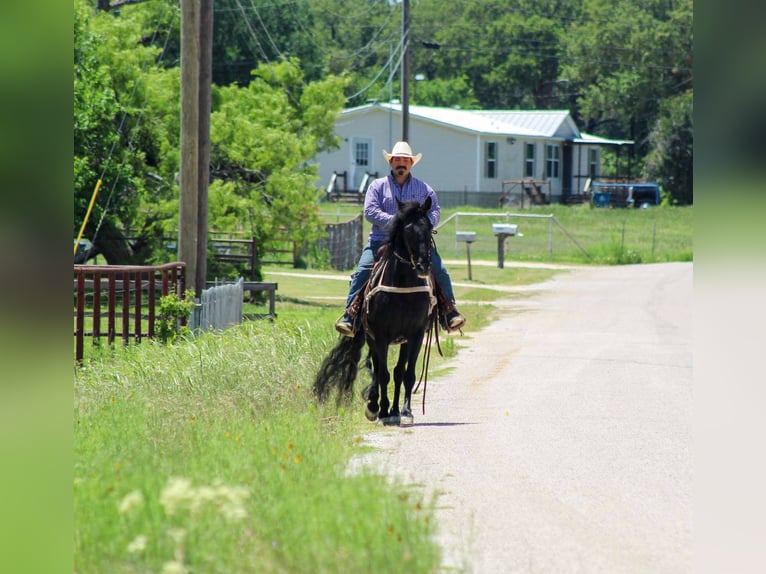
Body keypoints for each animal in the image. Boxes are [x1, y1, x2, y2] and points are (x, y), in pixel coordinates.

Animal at [313, 198, 436, 426]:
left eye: (429, 227)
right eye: (408, 230)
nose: (423, 265)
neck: (402, 286)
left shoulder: (414, 335)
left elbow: (405, 374)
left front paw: (403, 410)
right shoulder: (380, 336)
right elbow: (383, 374)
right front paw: (384, 411)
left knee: (395, 372)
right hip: (370, 337)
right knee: (378, 370)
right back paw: (373, 406)